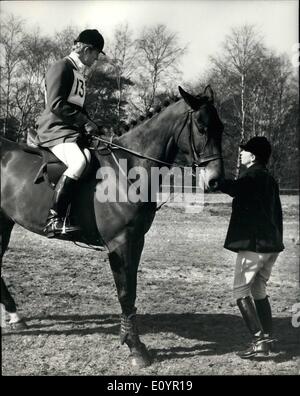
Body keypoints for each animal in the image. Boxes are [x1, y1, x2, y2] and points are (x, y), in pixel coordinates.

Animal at [1, 86, 224, 368]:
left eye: (221, 128)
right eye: (202, 128)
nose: (216, 180)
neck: (129, 169)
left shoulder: (136, 240)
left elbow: (132, 290)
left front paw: (128, 338)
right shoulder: (120, 243)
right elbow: (125, 292)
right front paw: (136, 348)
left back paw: (13, 315)